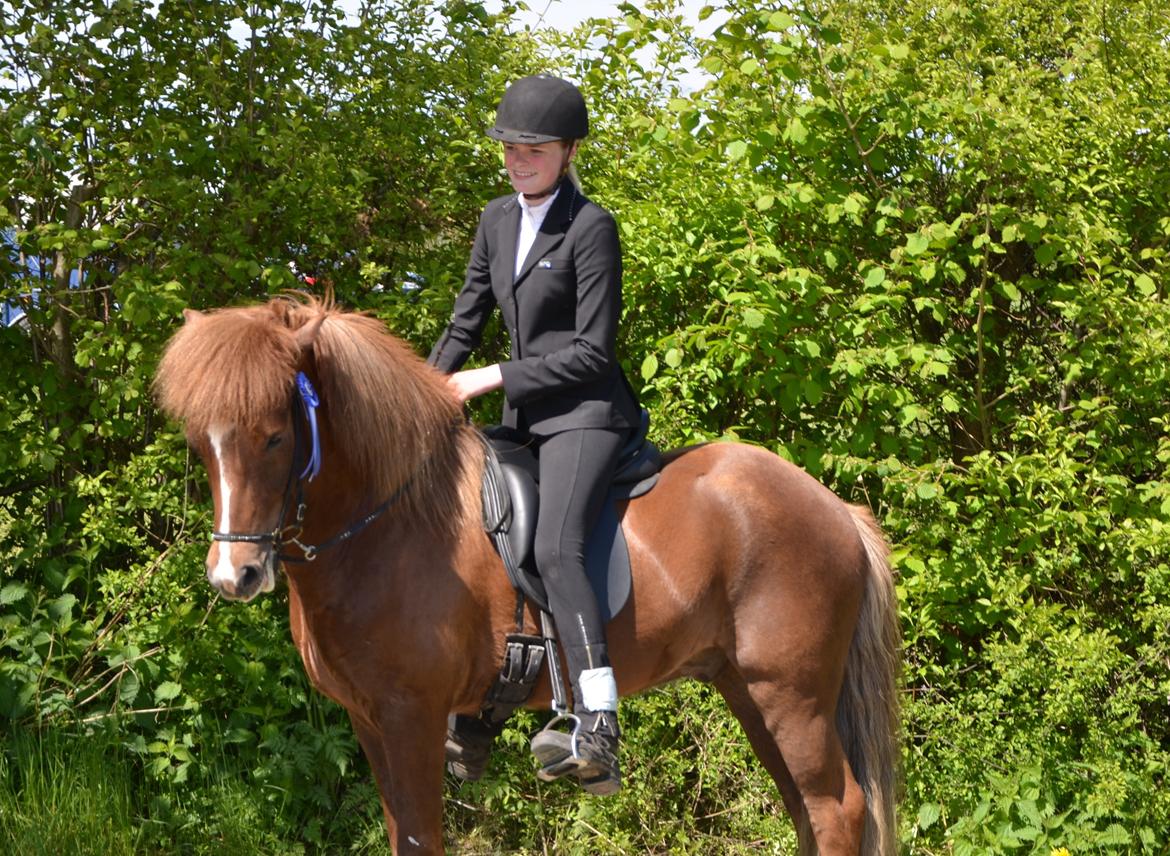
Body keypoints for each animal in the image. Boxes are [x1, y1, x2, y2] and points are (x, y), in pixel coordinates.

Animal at [153, 295, 903, 856]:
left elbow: (421, 839)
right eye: (201, 443)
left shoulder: (410, 715)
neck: (390, 519)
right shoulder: (369, 720)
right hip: (748, 690)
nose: (235, 575)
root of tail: (833, 506)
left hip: (791, 695)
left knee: (837, 809)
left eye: (276, 436)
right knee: (807, 811)